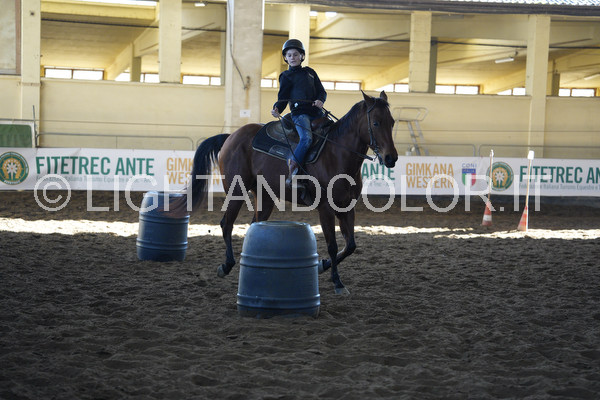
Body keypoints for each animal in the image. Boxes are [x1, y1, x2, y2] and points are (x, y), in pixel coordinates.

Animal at [172, 90, 398, 295]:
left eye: (392, 122)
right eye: (376, 123)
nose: (391, 158)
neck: (336, 154)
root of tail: (231, 137)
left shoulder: (346, 207)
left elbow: (350, 245)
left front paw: (322, 265)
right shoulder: (325, 208)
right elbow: (333, 245)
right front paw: (337, 282)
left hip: (265, 197)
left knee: (254, 226)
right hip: (236, 190)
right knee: (226, 223)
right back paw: (226, 266)